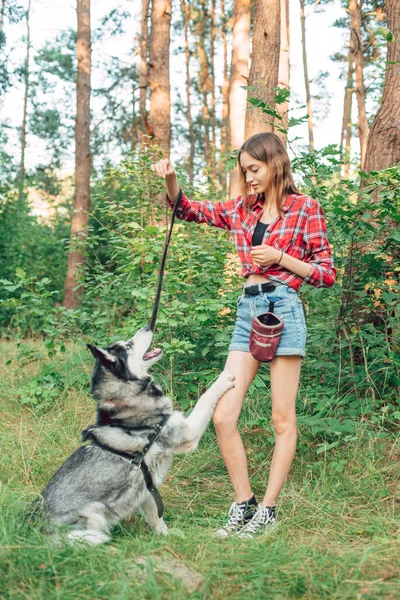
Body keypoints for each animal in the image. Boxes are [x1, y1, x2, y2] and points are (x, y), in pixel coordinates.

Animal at [35, 326, 234, 548]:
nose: (147, 327)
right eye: (128, 346)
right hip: (94, 515)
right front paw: (223, 378)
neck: (126, 397)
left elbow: (157, 517)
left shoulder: (147, 488)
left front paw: (166, 537)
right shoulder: (187, 433)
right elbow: (206, 397)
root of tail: (37, 533)